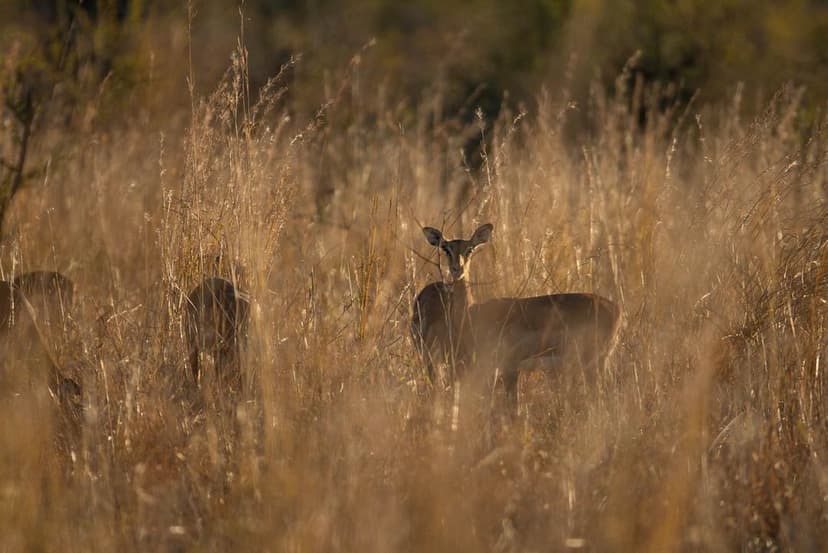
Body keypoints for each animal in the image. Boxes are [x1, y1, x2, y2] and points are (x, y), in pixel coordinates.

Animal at [411, 223, 621, 415]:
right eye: (446, 248)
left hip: (594, 362)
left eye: (469, 249)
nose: (457, 269)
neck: (473, 313)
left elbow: (513, 409)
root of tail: (615, 308)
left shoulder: (510, 366)